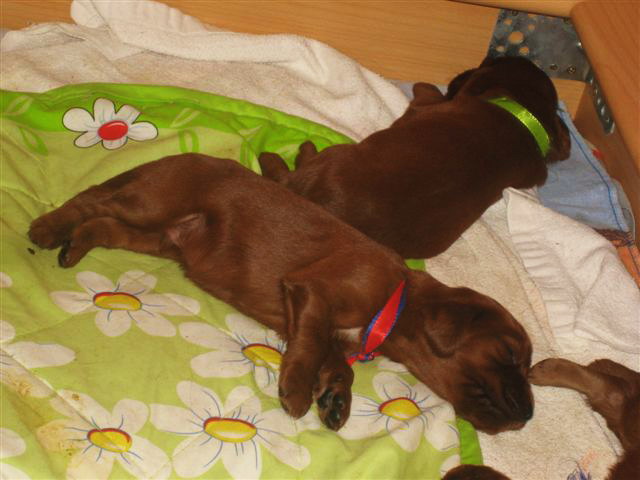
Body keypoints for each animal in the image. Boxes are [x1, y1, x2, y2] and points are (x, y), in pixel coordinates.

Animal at [29, 153, 533, 434]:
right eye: (510, 355)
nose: (529, 414)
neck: (396, 298)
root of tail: (179, 157)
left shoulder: (323, 324)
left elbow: (334, 361)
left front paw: (335, 399)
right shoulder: (314, 291)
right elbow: (310, 346)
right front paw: (297, 392)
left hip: (156, 237)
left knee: (103, 224)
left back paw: (75, 244)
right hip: (151, 203)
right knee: (93, 200)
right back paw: (50, 228)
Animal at [258, 56, 571, 259]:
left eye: (485, 65)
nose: (462, 72)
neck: (521, 115)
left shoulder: (426, 105)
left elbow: (424, 91)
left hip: (333, 156)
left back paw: (293, 153)